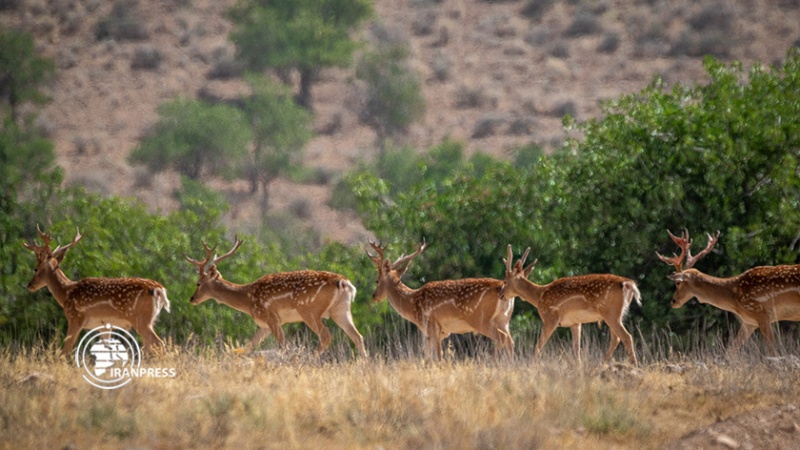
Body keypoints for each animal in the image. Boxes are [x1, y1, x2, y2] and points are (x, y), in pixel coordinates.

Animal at [23, 227, 170, 356]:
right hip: (150, 319)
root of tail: (159, 289)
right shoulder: (104, 325)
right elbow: (107, 349)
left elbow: (65, 350)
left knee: (158, 343)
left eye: (35, 268)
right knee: (149, 346)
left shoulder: (75, 318)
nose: (29, 285)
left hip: (140, 318)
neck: (66, 294)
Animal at [186, 237, 368, 356]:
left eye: (198, 283)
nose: (192, 299)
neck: (248, 299)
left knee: (326, 336)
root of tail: (343, 282)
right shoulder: (265, 325)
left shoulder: (271, 318)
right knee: (357, 336)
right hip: (341, 310)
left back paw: (311, 360)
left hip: (310, 310)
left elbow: (283, 345)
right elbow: (249, 346)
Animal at [364, 239, 512, 362]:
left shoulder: (432, 326)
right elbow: (427, 356)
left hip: (479, 318)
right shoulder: (442, 332)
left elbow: (438, 358)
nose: (374, 296)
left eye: (377, 280)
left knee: (501, 338)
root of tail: (501, 286)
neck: (412, 303)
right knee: (510, 341)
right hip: (503, 320)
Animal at [500, 244, 644, 364]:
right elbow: (576, 350)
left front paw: (532, 365)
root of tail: (627, 283)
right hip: (616, 314)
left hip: (611, 313)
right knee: (616, 339)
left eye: (505, 281)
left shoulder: (551, 317)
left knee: (626, 337)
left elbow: (538, 346)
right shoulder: (575, 323)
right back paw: (600, 366)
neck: (539, 295)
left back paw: (634, 366)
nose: (500, 294)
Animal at [656, 230, 800, 354]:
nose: (673, 301)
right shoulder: (749, 321)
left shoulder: (762, 314)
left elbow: (773, 351)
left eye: (678, 283)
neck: (735, 298)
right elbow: (731, 350)